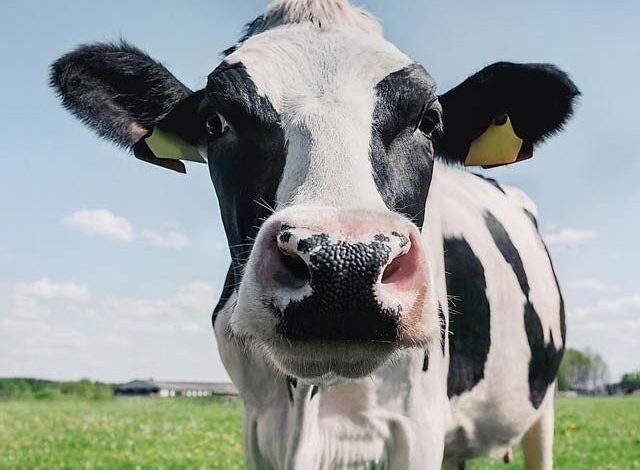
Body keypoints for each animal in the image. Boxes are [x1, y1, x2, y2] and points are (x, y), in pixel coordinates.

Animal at [50, 0, 578, 468]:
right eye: (216, 121)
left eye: (429, 120)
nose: (344, 265)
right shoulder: (258, 425)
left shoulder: (417, 426)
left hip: (543, 406)